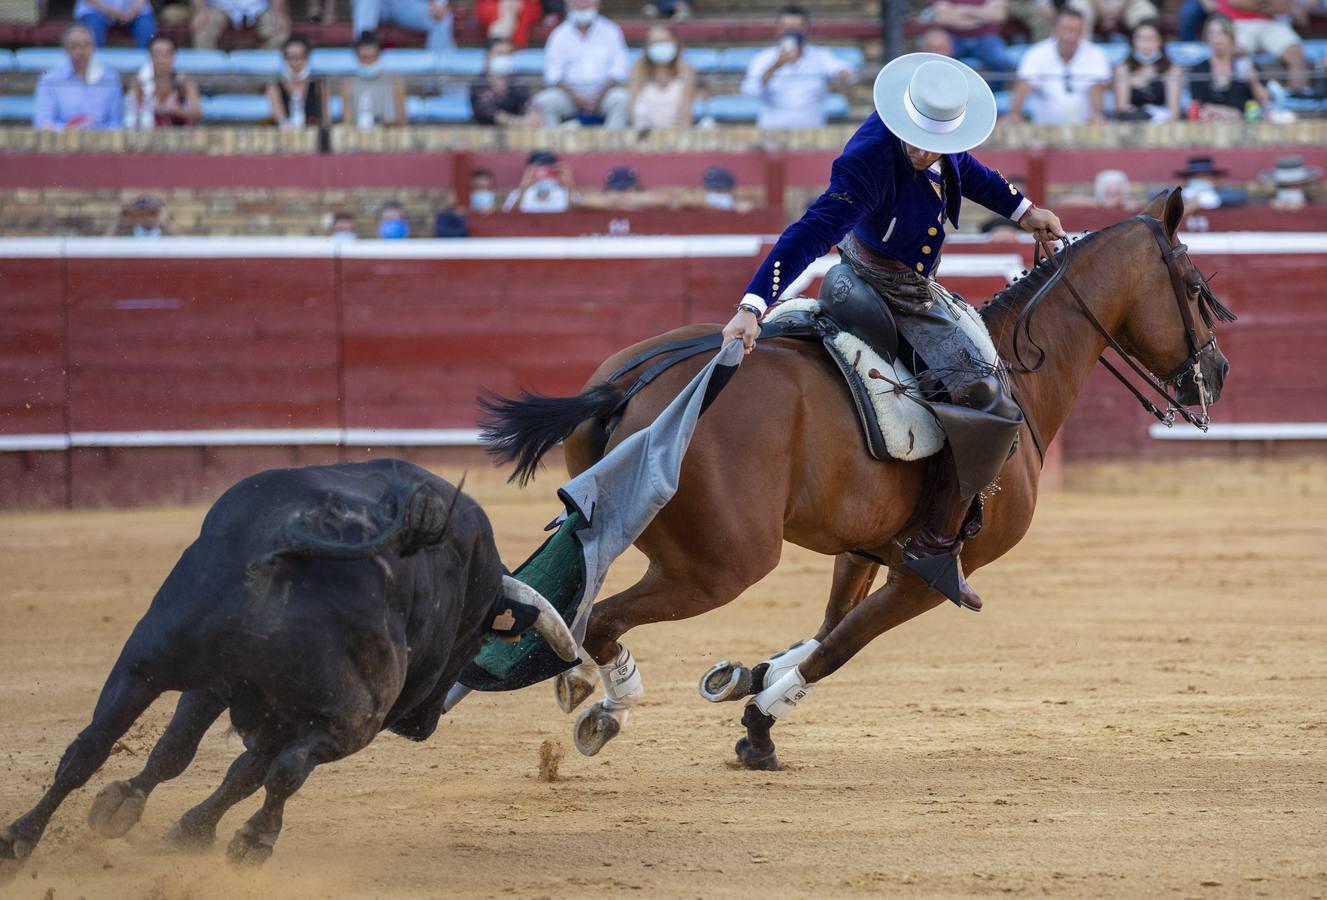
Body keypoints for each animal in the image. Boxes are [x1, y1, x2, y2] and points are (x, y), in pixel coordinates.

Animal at [0, 461, 575, 870]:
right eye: (478, 632)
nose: (421, 724)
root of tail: (300, 538)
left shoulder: (224, 688)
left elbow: (194, 757)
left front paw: (149, 814)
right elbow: (247, 770)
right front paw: (188, 826)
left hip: (145, 663)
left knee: (89, 747)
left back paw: (19, 840)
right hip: (356, 717)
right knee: (288, 771)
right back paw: (255, 841)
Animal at [483, 188, 1226, 769]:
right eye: (1195, 289)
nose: (1215, 373)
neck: (1020, 384)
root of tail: (633, 383)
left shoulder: (866, 550)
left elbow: (826, 625)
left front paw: (744, 678)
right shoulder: (930, 577)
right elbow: (841, 645)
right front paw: (759, 725)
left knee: (580, 605)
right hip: (723, 564)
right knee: (602, 619)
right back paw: (603, 705)